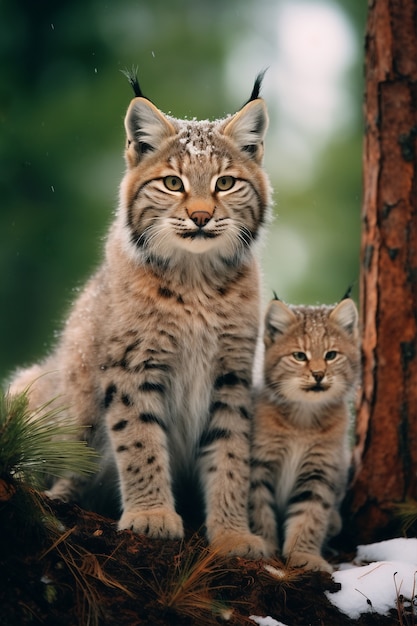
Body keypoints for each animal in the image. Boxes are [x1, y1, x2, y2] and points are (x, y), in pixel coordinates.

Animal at [9, 73, 272, 556]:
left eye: (226, 183)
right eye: (172, 182)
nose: (201, 217)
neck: (196, 279)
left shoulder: (231, 372)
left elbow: (231, 453)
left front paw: (233, 534)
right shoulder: (133, 364)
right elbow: (140, 440)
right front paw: (151, 516)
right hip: (30, 387)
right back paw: (64, 491)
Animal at [249, 298, 360, 572]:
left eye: (331, 355)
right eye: (299, 356)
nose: (318, 375)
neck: (304, 417)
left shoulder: (319, 470)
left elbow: (310, 515)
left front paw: (305, 555)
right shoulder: (260, 464)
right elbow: (259, 508)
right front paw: (266, 547)